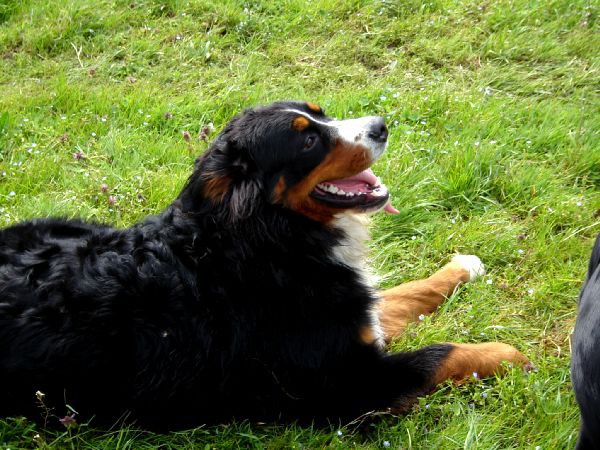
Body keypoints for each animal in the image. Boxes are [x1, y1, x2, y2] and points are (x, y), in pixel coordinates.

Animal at [0, 101, 528, 428]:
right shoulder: (347, 384)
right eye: (307, 142)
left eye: (321, 114)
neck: (267, 239)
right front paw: (508, 355)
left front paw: (462, 267)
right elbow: (442, 353)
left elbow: (402, 295)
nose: (380, 125)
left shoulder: (354, 315)